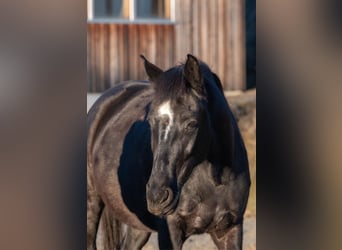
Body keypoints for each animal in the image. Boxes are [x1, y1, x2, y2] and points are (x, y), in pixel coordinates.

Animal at [87, 55, 250, 250]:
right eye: (150, 121)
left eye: (191, 123)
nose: (157, 196)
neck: (215, 180)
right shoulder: (170, 232)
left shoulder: (230, 229)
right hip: (91, 204)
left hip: (138, 226)